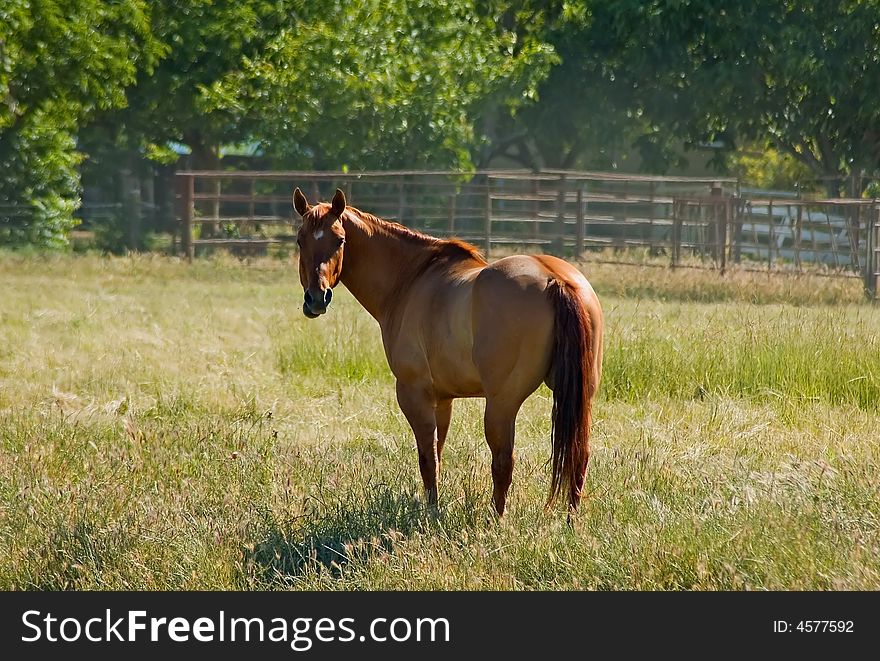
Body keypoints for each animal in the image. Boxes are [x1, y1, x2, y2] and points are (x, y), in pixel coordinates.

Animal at [292, 187, 600, 516]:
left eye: (340, 240)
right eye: (301, 239)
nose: (316, 299)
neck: (411, 279)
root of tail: (555, 279)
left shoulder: (415, 394)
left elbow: (427, 458)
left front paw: (431, 512)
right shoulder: (443, 399)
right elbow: (438, 453)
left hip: (502, 403)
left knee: (503, 462)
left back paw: (495, 520)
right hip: (580, 396)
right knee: (579, 455)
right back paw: (570, 520)